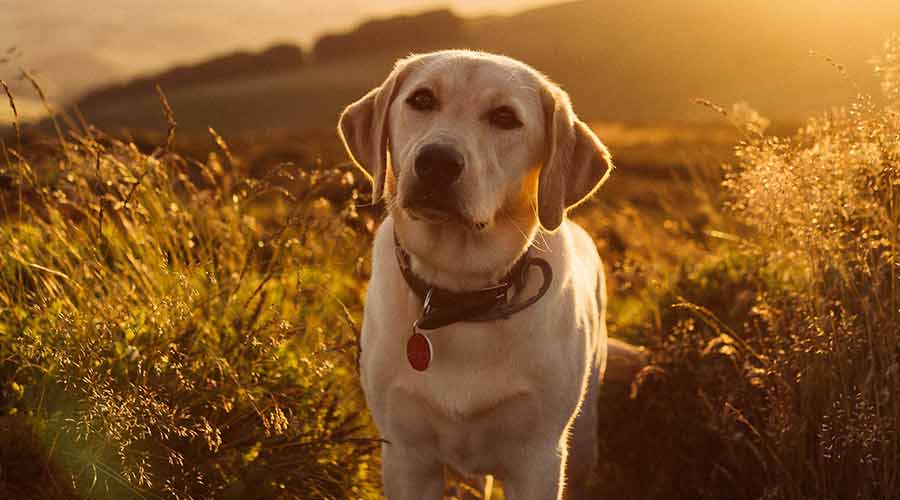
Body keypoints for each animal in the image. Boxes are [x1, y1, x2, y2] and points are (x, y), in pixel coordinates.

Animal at [338, 47, 612, 500]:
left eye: (505, 117)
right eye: (422, 99)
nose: (436, 161)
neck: (459, 294)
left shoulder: (537, 460)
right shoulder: (406, 455)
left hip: (585, 432)